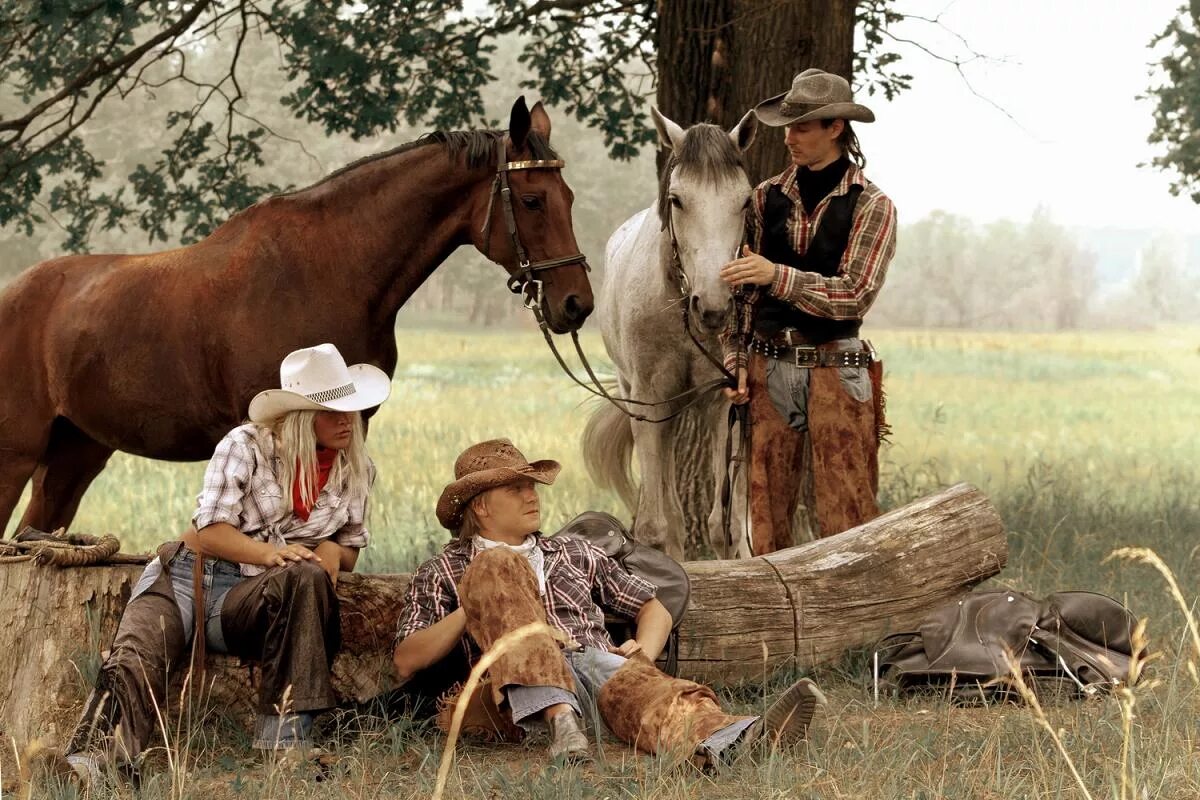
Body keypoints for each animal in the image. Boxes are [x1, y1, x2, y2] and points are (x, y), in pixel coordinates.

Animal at [0, 100, 592, 537]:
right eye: (533, 200)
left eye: (569, 196)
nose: (576, 304)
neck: (330, 271)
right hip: (18, 453)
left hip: (76, 453)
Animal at [583, 107, 758, 563]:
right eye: (677, 199)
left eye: (744, 200)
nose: (713, 306)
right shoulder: (650, 403)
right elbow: (654, 525)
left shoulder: (721, 404)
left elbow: (724, 526)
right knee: (670, 516)